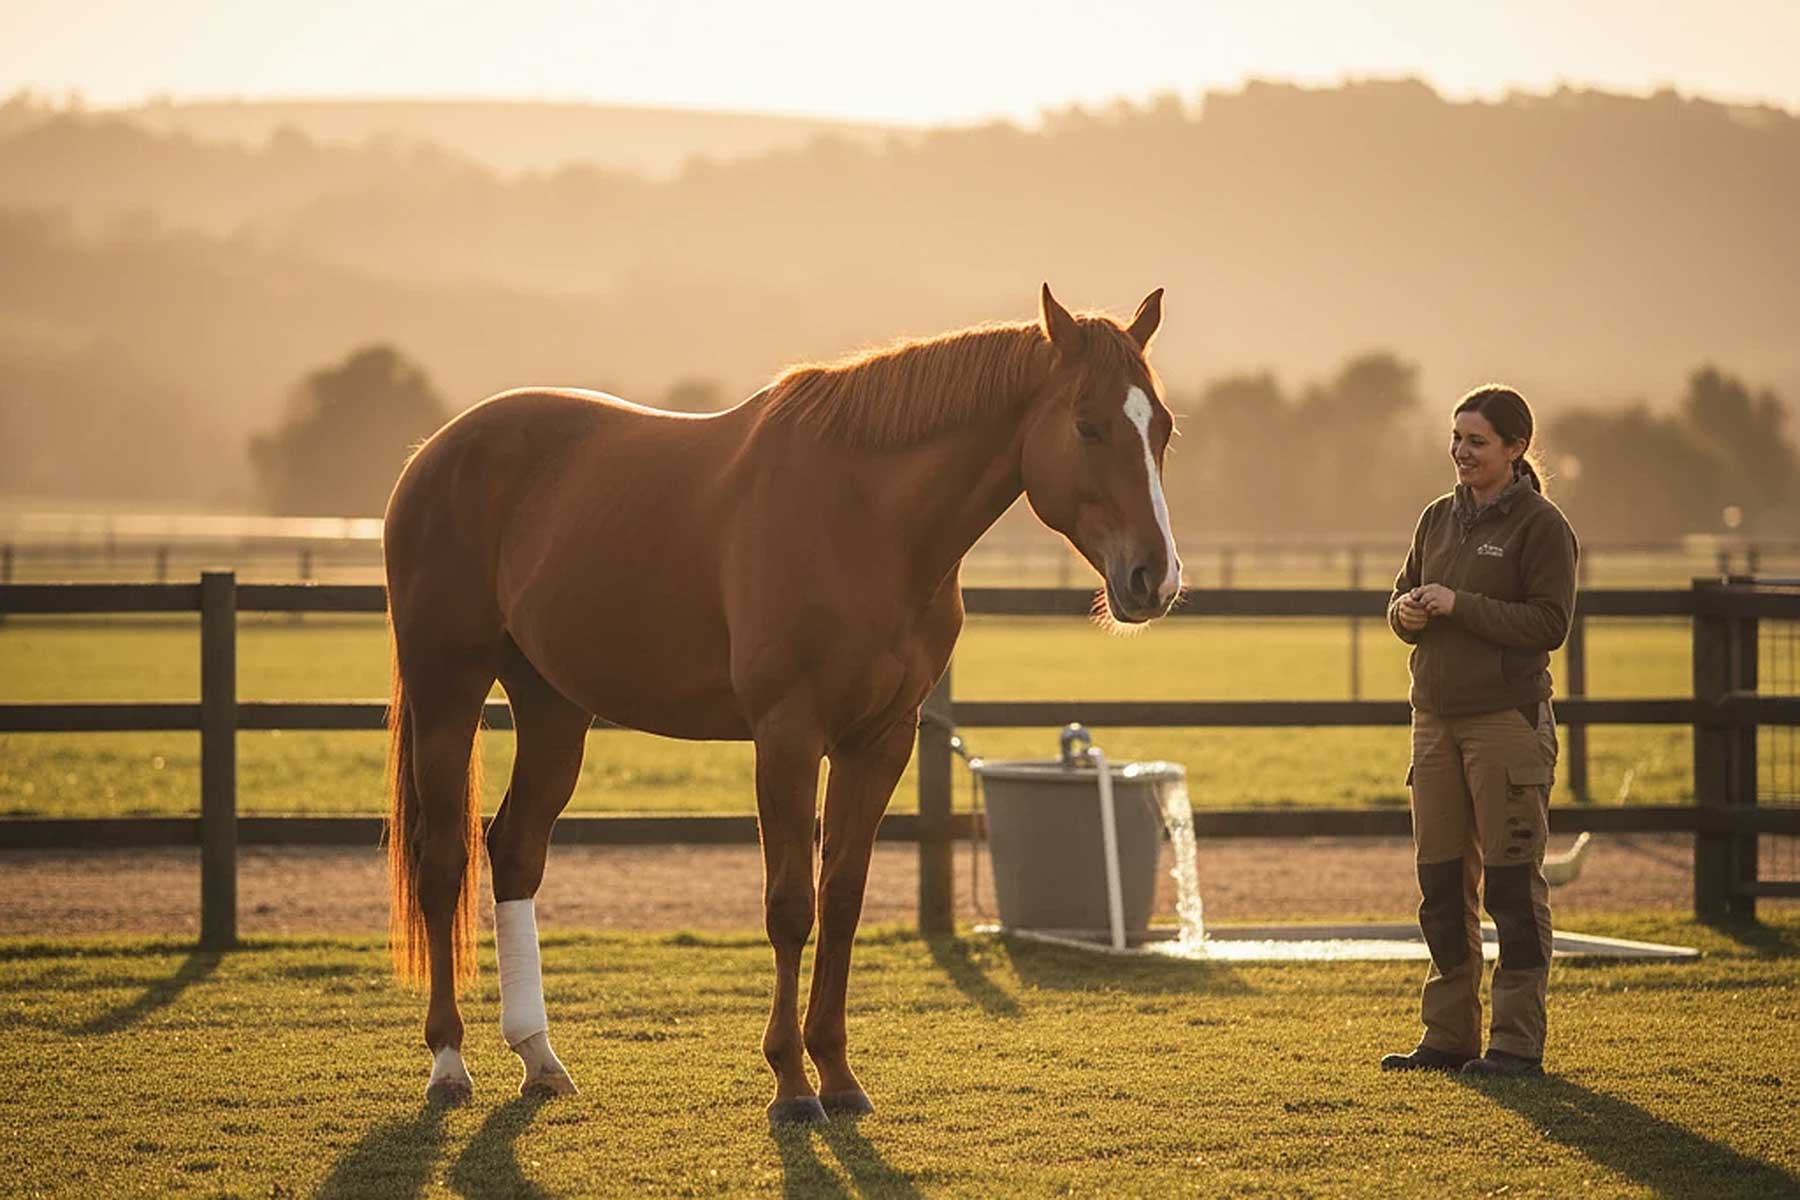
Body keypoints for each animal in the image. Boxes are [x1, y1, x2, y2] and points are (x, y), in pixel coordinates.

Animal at [383, 284, 1183, 1123]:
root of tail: (435, 453)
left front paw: (838, 1073)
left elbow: (843, 898)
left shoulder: (880, 742)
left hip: (553, 709)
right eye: (1087, 424)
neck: (866, 518)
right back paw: (448, 1062)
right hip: (448, 690)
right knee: (444, 860)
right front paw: (793, 1085)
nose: (1153, 579)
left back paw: (539, 1056)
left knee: (514, 851)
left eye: (1161, 426)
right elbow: (791, 904)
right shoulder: (788, 737)